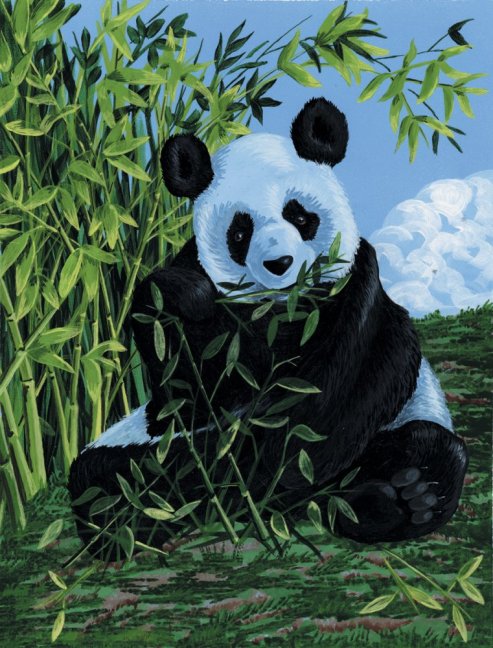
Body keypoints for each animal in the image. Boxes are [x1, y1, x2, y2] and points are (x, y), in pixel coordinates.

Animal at [68, 98, 468, 553]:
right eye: (240, 232)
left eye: (299, 215)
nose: (280, 263)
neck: (281, 309)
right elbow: (183, 392)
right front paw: (184, 300)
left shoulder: (356, 304)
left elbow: (331, 400)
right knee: (106, 477)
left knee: (430, 451)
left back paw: (400, 495)